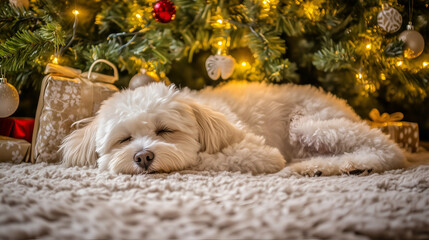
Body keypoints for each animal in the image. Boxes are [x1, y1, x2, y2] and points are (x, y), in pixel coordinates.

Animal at [59, 81, 404, 175]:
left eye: (165, 131)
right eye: (124, 139)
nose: (142, 157)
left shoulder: (260, 152)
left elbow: (201, 158)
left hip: (307, 126)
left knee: (388, 149)